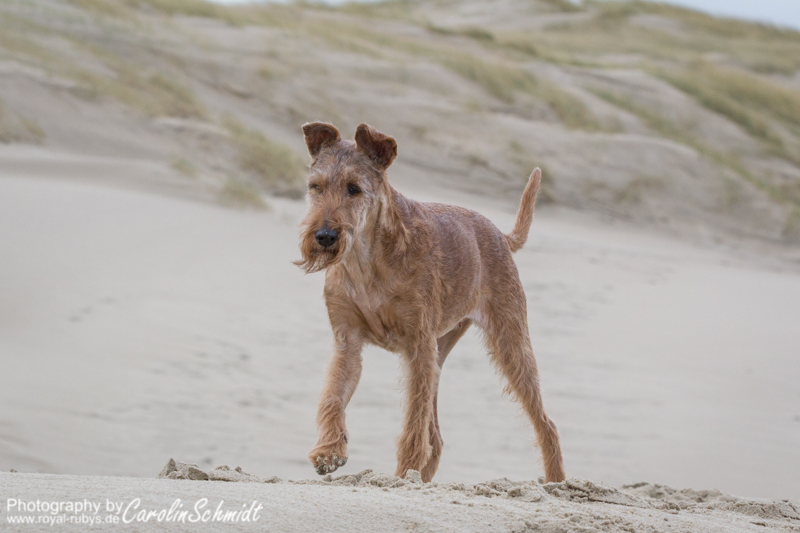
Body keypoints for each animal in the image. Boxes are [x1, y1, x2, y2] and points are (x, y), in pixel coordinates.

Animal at [296, 122, 565, 483]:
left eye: (354, 189)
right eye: (316, 187)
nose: (324, 236)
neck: (367, 259)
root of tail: (500, 235)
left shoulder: (418, 343)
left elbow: (413, 423)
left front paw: (403, 470)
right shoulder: (348, 340)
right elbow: (333, 397)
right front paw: (328, 451)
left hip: (509, 341)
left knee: (546, 424)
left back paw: (556, 481)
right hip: (441, 351)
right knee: (435, 437)